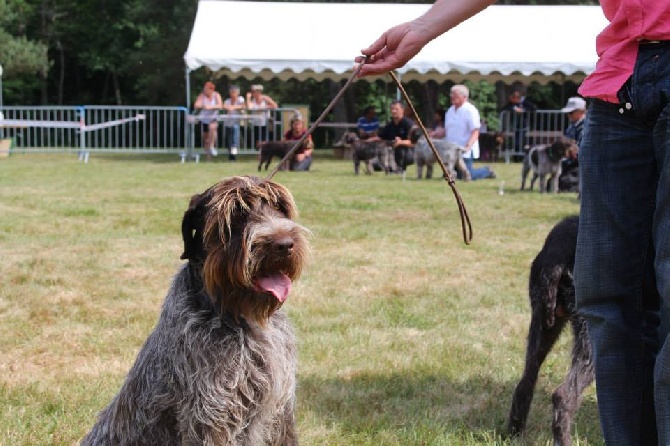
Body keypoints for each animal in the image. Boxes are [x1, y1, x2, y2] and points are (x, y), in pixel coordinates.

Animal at [80, 175, 310, 446]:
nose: (284, 244)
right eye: (236, 213)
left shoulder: (280, 409)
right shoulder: (212, 414)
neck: (236, 313)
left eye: (280, 208)